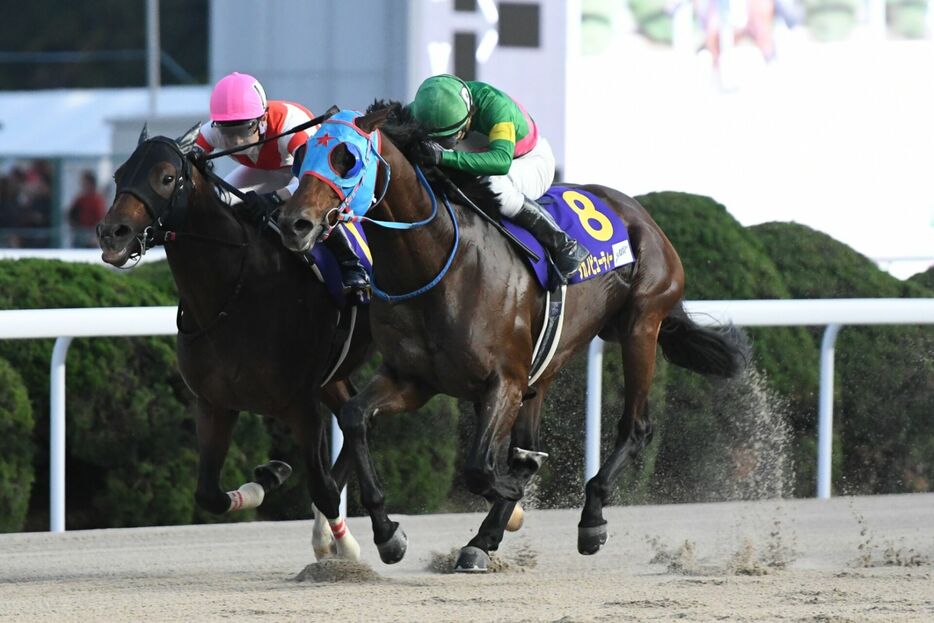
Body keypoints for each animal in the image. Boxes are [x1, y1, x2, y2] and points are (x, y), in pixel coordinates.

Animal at [97, 127, 372, 560]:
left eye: (166, 178)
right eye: (118, 174)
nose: (112, 233)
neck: (235, 291)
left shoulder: (301, 405)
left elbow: (322, 486)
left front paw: (348, 547)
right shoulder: (214, 403)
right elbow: (208, 494)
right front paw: (268, 477)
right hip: (336, 374)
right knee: (358, 417)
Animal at [276, 105, 744, 572]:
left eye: (347, 158)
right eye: (300, 159)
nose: (294, 223)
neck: (435, 263)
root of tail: (638, 213)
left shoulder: (504, 380)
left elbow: (479, 467)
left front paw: (511, 498)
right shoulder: (413, 379)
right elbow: (356, 417)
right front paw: (388, 533)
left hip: (640, 325)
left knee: (636, 426)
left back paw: (588, 519)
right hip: (551, 359)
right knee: (528, 443)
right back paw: (486, 534)